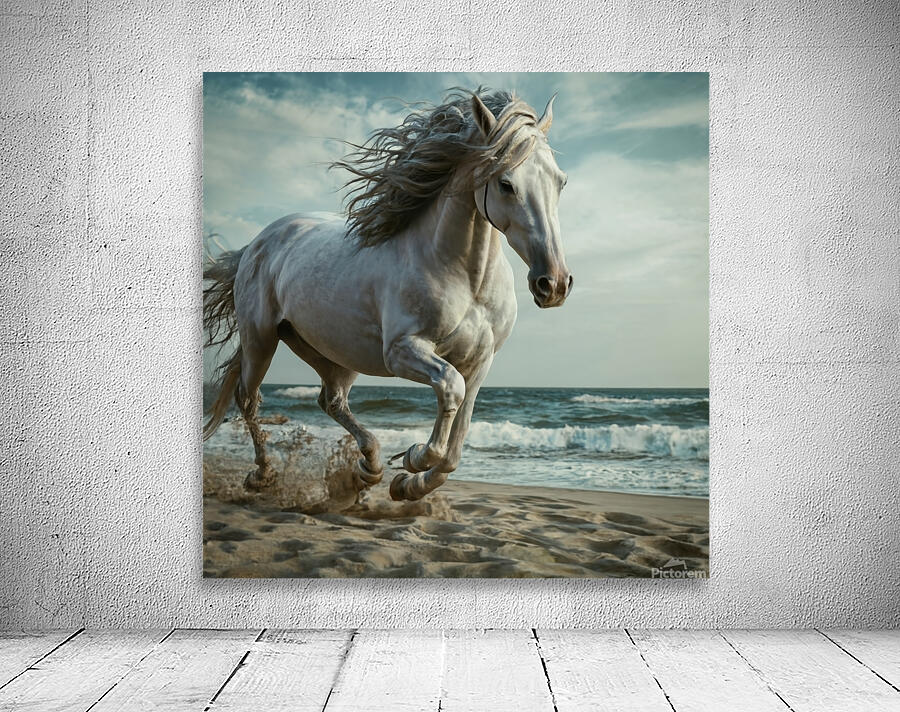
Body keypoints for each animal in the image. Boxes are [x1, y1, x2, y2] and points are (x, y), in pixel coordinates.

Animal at [202, 88, 572, 501]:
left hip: (330, 351)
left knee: (331, 401)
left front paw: (408, 484)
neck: (466, 278)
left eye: (560, 182)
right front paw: (414, 457)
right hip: (261, 339)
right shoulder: (401, 351)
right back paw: (264, 475)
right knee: (248, 399)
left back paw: (369, 468)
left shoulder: (480, 362)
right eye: (506, 183)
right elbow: (450, 389)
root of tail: (258, 241)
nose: (554, 284)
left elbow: (456, 446)